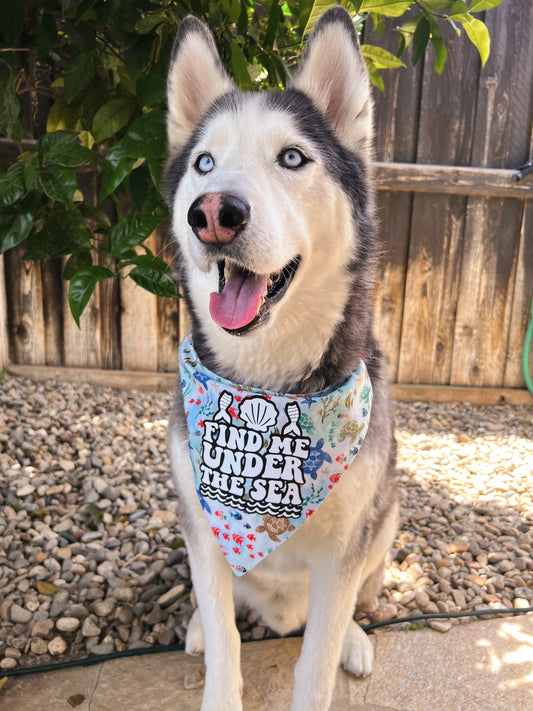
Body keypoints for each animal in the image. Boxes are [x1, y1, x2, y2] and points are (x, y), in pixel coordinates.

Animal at [165, 6, 394, 711]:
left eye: (292, 157)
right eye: (204, 163)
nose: (214, 212)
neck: (269, 387)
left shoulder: (344, 550)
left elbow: (315, 665)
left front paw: (333, 652)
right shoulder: (206, 529)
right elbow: (226, 644)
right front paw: (214, 656)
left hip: (385, 519)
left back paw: (355, 638)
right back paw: (195, 628)